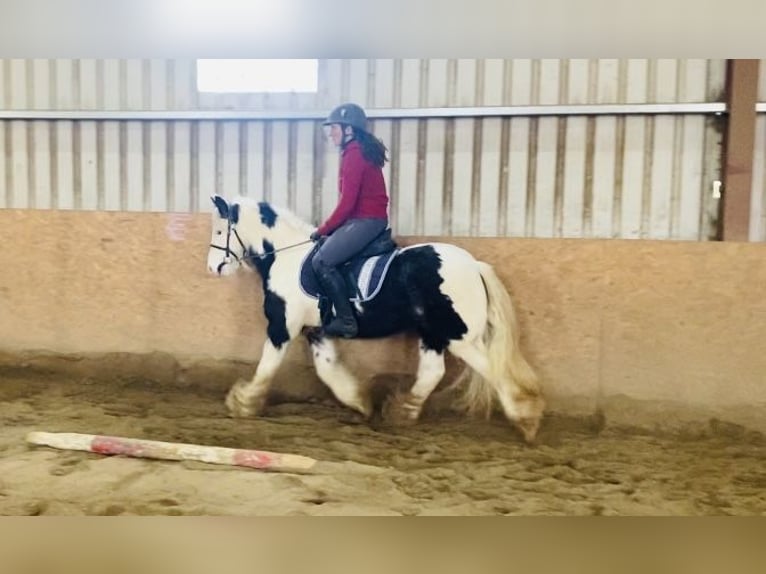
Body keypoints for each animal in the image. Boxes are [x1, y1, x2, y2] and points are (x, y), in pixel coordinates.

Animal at [207, 196, 544, 444]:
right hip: (433, 333)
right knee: (433, 372)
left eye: (220, 231)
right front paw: (359, 401)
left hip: (458, 336)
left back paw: (526, 419)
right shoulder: (316, 331)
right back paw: (402, 413)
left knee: (493, 370)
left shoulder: (282, 327)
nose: (213, 268)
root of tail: (474, 265)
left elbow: (266, 366)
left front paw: (243, 402)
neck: (286, 258)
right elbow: (327, 370)